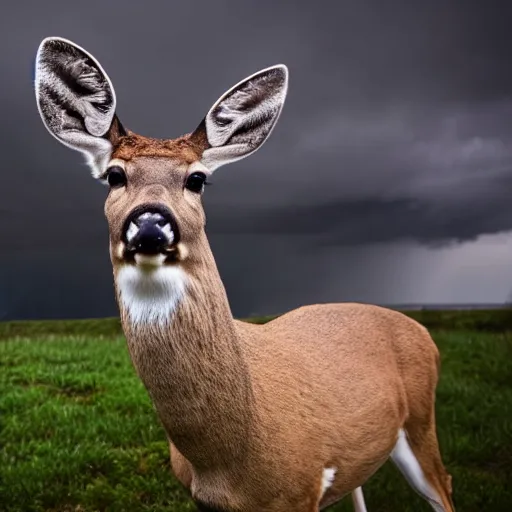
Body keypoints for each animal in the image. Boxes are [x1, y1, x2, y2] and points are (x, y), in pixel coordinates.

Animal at [34, 37, 454, 512]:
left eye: (197, 179)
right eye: (114, 175)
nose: (150, 224)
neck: (232, 460)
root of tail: (422, 331)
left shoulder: (302, 490)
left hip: (421, 420)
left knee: (445, 485)